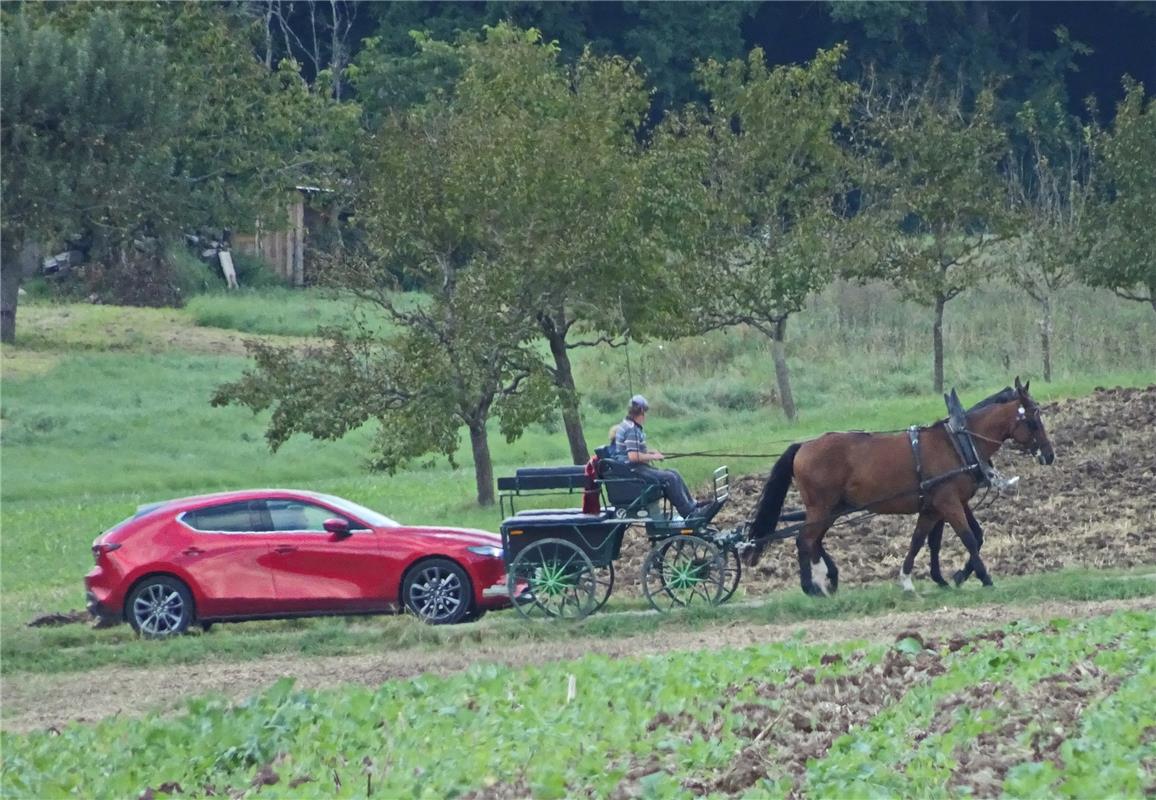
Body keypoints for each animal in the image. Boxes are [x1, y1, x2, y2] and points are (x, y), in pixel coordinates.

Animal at [744, 379, 1054, 591]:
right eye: (1034, 417)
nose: (1049, 455)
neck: (959, 441)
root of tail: (804, 446)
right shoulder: (948, 503)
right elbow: (967, 538)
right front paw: (984, 578)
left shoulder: (937, 506)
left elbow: (923, 540)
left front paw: (921, 579)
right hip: (821, 506)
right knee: (804, 539)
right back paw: (812, 587)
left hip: (831, 508)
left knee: (815, 541)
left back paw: (827, 580)